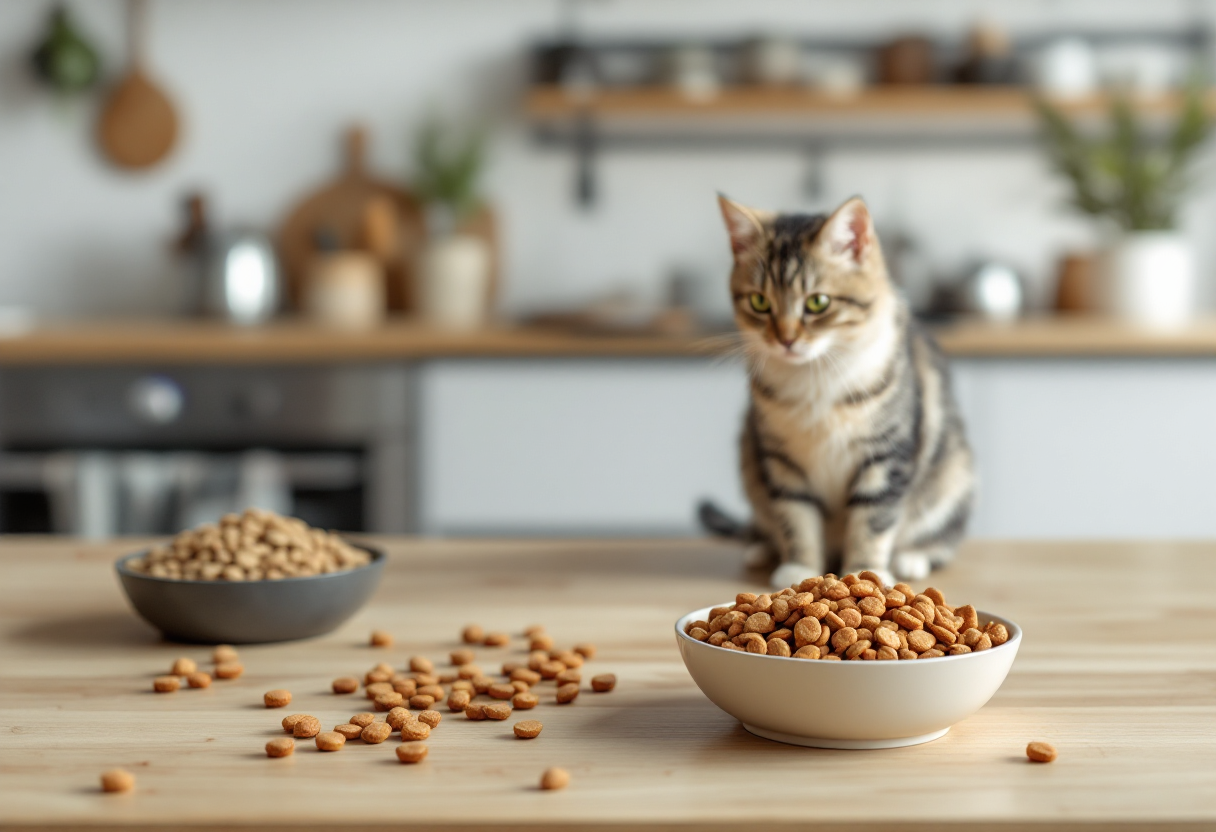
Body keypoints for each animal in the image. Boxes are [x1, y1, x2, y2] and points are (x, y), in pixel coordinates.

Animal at [700, 193, 972, 591]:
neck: (815, 377)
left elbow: (873, 517)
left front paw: (865, 573)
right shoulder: (781, 458)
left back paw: (912, 557)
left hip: (954, 475)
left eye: (818, 302)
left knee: (941, 534)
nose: (785, 339)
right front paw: (798, 568)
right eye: (759, 302)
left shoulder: (887, 452)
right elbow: (795, 514)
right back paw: (762, 549)